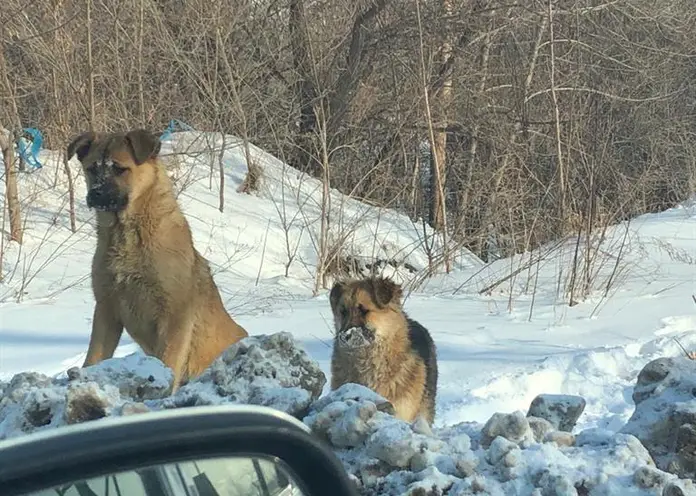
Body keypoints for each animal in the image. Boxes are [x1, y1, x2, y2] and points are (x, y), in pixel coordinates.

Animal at [66, 128, 250, 392]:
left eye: (119, 168)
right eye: (92, 169)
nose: (96, 194)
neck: (127, 237)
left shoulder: (175, 316)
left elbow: (169, 362)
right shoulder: (107, 310)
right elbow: (94, 357)